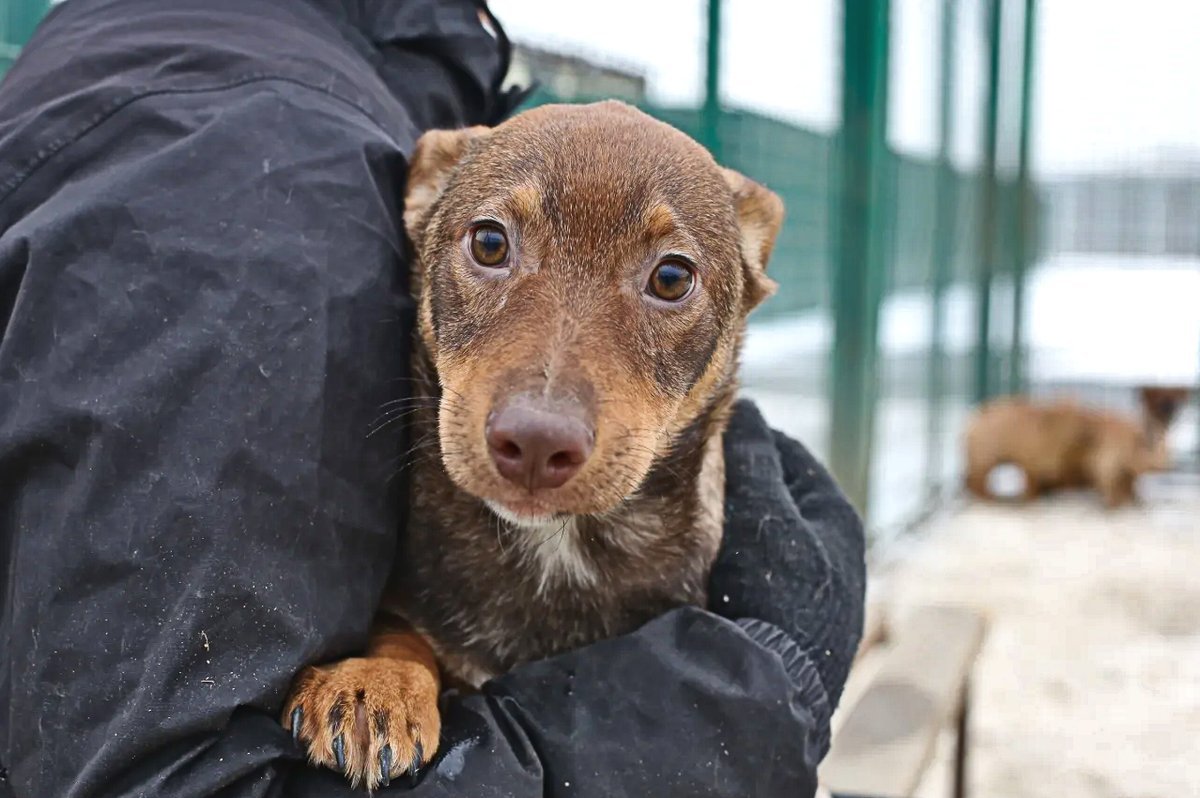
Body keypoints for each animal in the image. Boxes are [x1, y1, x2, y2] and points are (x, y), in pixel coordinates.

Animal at [282, 101, 787, 792]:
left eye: (672, 277)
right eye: (490, 243)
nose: (537, 442)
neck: (557, 548)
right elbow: (402, 631)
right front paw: (372, 683)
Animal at [960, 386, 1185, 506]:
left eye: (1172, 402)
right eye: (1159, 400)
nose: (1169, 412)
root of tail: (975, 417)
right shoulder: (1107, 461)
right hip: (985, 460)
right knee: (978, 483)